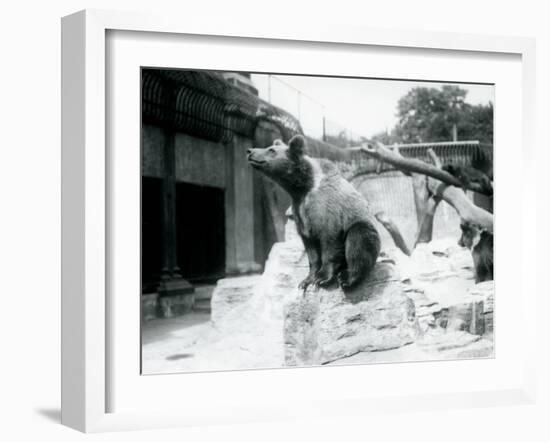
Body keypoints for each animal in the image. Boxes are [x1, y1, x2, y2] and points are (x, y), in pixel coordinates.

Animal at [248, 133, 382, 290]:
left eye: (271, 150)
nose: (250, 151)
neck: (303, 187)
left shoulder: (326, 208)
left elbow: (329, 241)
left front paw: (322, 278)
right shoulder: (300, 212)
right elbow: (311, 249)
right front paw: (307, 280)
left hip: (363, 226)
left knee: (359, 240)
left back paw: (347, 277)